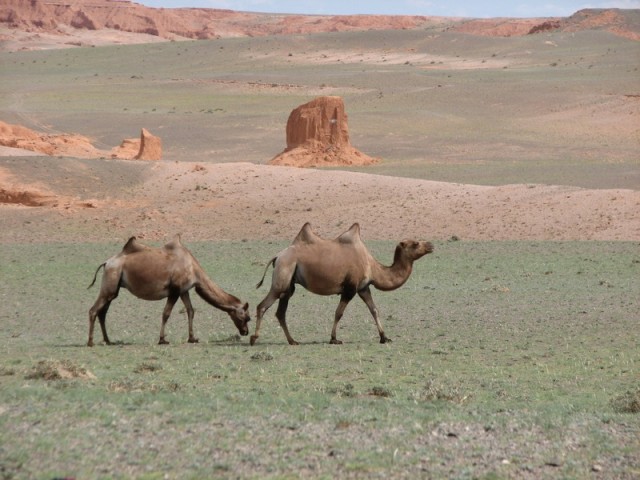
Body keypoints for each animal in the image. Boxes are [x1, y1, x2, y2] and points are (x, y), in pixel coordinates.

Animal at [87, 235, 250, 344]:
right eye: (245, 317)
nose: (245, 332)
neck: (193, 269)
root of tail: (107, 262)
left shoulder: (184, 290)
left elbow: (190, 311)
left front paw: (192, 338)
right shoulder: (175, 291)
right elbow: (166, 314)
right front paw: (162, 340)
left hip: (113, 288)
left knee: (103, 312)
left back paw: (108, 341)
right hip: (111, 280)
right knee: (94, 310)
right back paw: (90, 342)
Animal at [250, 223, 436, 346]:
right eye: (415, 243)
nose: (431, 245)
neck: (372, 266)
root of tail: (278, 256)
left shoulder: (363, 288)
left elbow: (374, 310)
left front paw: (384, 337)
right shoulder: (350, 288)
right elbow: (339, 313)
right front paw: (334, 339)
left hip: (289, 284)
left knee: (280, 312)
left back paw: (292, 341)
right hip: (283, 275)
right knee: (262, 305)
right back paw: (253, 338)